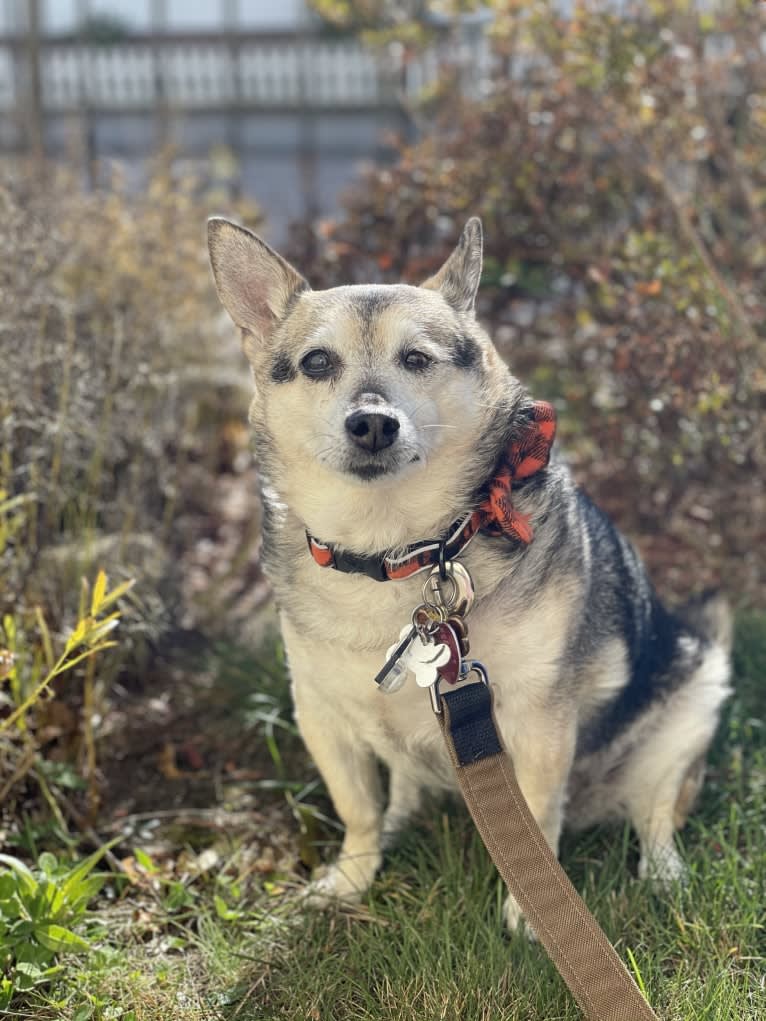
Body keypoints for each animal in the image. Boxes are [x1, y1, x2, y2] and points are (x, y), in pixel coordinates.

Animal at [207, 217, 735, 935]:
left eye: (417, 359)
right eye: (317, 363)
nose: (372, 422)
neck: (397, 549)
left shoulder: (536, 721)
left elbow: (538, 817)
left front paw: (531, 912)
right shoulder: (319, 713)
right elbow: (357, 807)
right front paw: (350, 880)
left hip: (694, 700)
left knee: (655, 813)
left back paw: (663, 877)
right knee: (402, 787)